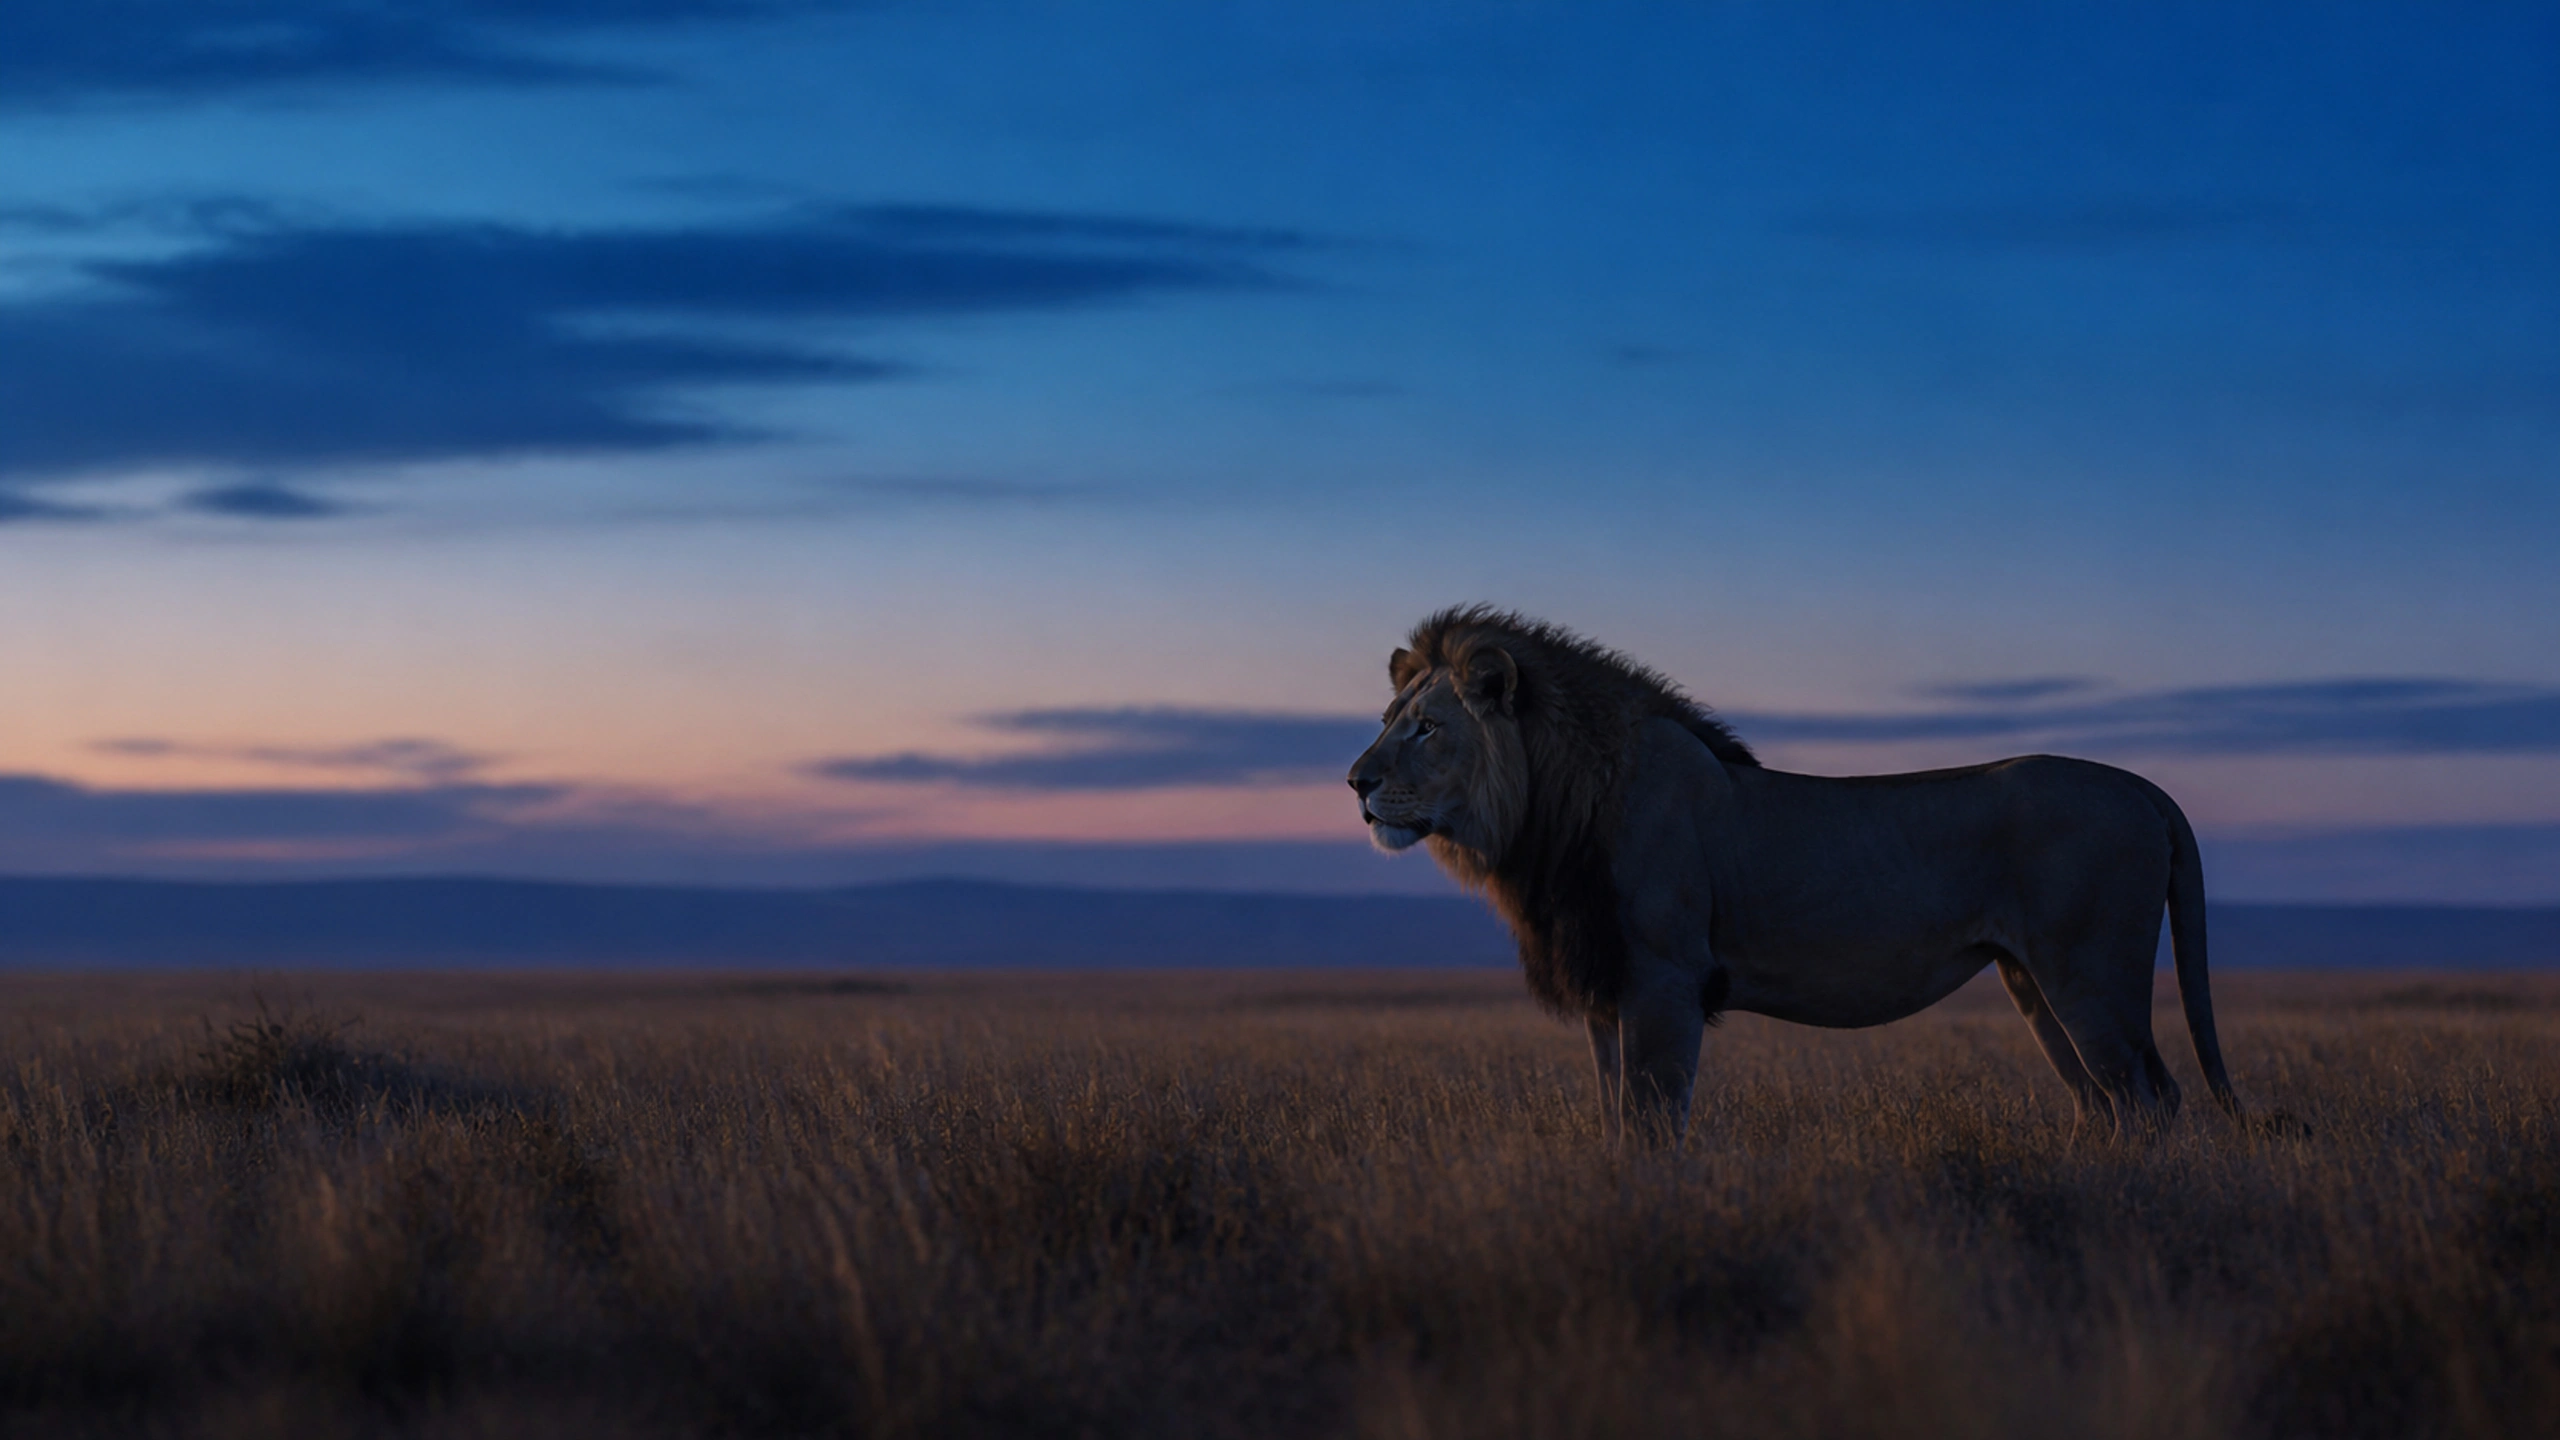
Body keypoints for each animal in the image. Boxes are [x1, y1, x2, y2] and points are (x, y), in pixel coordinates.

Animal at [1347, 605, 2266, 1146]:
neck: (1550, 814)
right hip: (2032, 984)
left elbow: (1652, 1128)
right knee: (2103, 1104)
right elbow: (1615, 1120)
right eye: (1389, 719)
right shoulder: (1603, 989)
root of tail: (2141, 786)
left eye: (1427, 728)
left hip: (2090, 978)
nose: (1355, 782)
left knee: (2146, 1101)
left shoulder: (1664, 982)